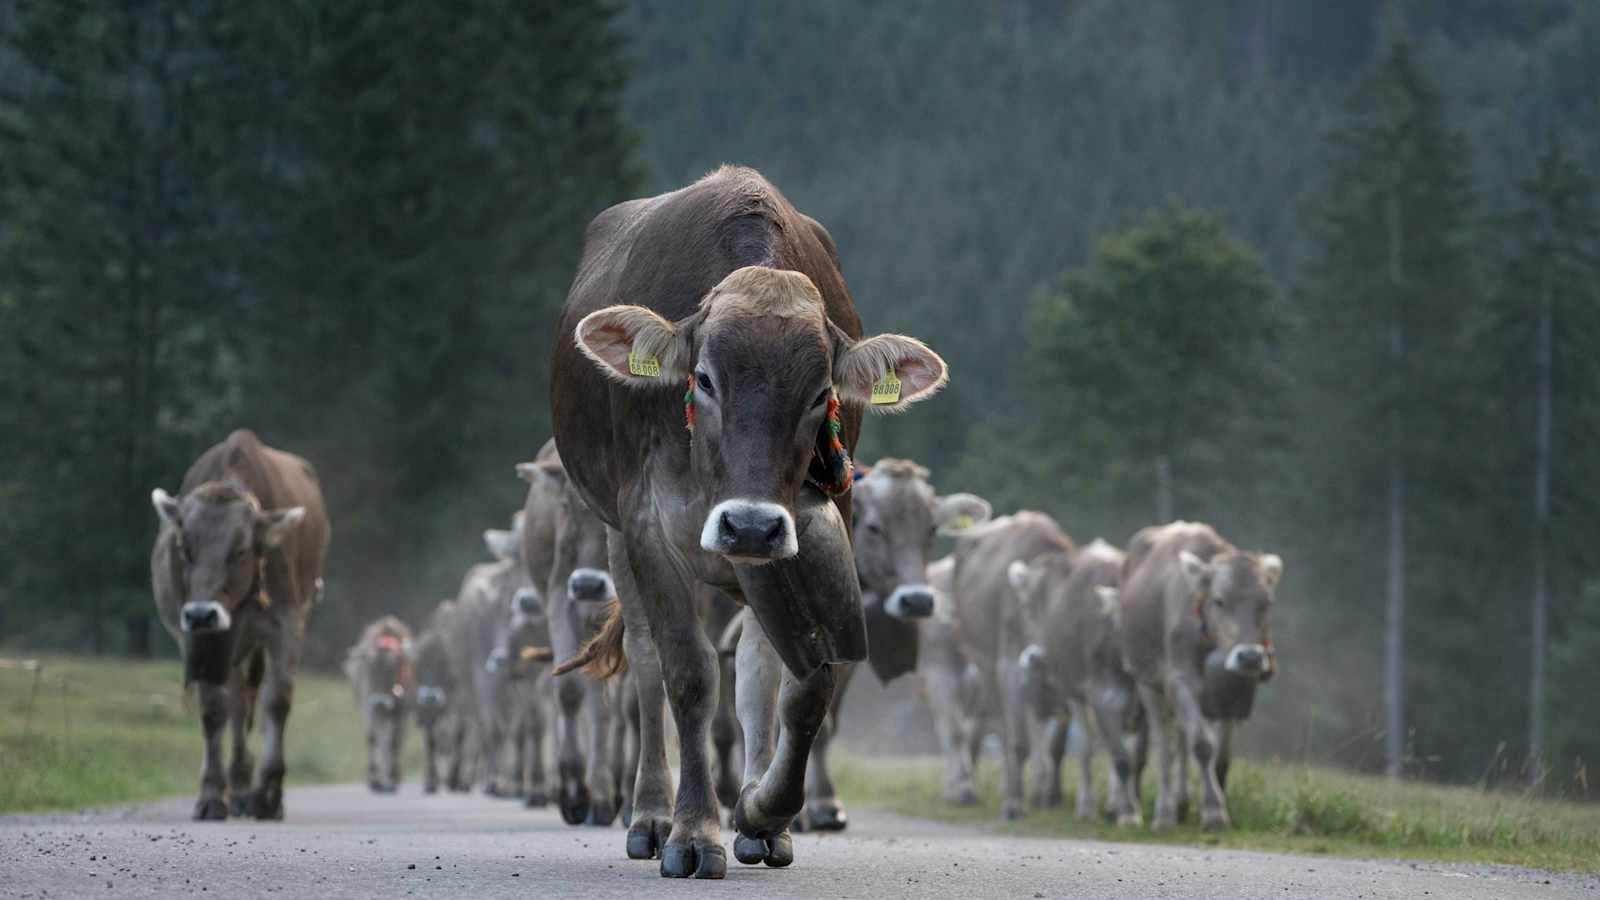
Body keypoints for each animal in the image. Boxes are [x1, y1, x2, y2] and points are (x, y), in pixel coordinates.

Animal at [148, 432, 329, 816]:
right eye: (184, 548)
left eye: (241, 550)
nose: (202, 613)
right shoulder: (195, 639)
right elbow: (214, 709)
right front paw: (211, 795)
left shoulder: (286, 623)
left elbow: (276, 701)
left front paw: (269, 794)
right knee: (237, 702)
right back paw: (239, 785)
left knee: (248, 698)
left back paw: (247, 789)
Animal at [553, 166, 947, 877]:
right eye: (705, 379)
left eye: (820, 394)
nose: (751, 526)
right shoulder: (648, 526)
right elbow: (689, 676)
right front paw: (692, 833)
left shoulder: (815, 529)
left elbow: (799, 691)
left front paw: (763, 812)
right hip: (618, 537)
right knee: (646, 667)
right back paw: (648, 815)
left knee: (756, 673)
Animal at [1004, 534, 1145, 826]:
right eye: (1024, 612)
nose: (1035, 656)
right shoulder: (1102, 697)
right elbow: (1121, 758)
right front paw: (1127, 813)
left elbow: (1134, 756)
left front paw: (1128, 807)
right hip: (1072, 692)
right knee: (1083, 745)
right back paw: (1084, 805)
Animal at [1113, 518, 1286, 826]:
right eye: (1219, 600)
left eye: (1267, 602)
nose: (1251, 657)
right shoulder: (1180, 679)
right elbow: (1202, 745)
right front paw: (1214, 812)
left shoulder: (1232, 696)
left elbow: (1221, 758)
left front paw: (1218, 799)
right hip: (1146, 680)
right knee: (1165, 746)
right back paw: (1164, 813)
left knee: (1181, 738)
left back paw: (1181, 804)